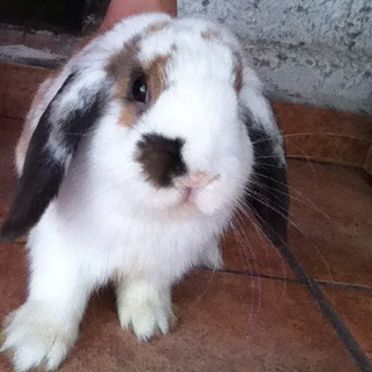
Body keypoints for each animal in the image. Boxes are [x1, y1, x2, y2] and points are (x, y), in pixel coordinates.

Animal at [0, 13, 290, 370]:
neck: (147, 214)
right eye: (139, 87)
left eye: (236, 101)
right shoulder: (62, 251)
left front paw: (149, 322)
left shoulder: (161, 264)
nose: (199, 175)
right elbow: (58, 291)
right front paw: (34, 346)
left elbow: (145, 287)